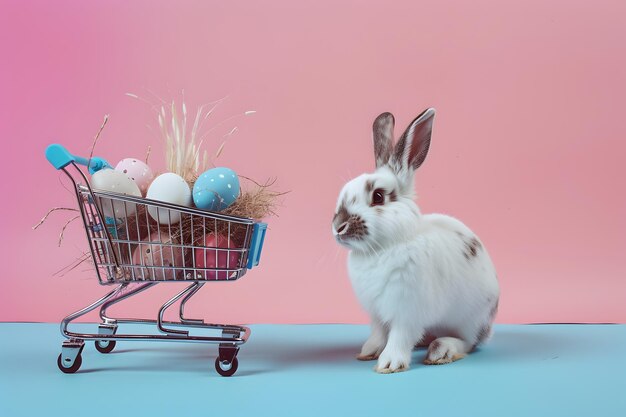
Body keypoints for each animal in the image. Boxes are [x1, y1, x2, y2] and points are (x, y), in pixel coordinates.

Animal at [332, 109, 498, 372]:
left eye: (378, 196)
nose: (338, 227)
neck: (382, 248)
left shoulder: (407, 311)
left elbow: (399, 336)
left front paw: (389, 364)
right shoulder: (376, 313)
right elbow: (379, 333)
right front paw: (368, 352)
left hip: (470, 319)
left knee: (469, 342)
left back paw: (441, 350)